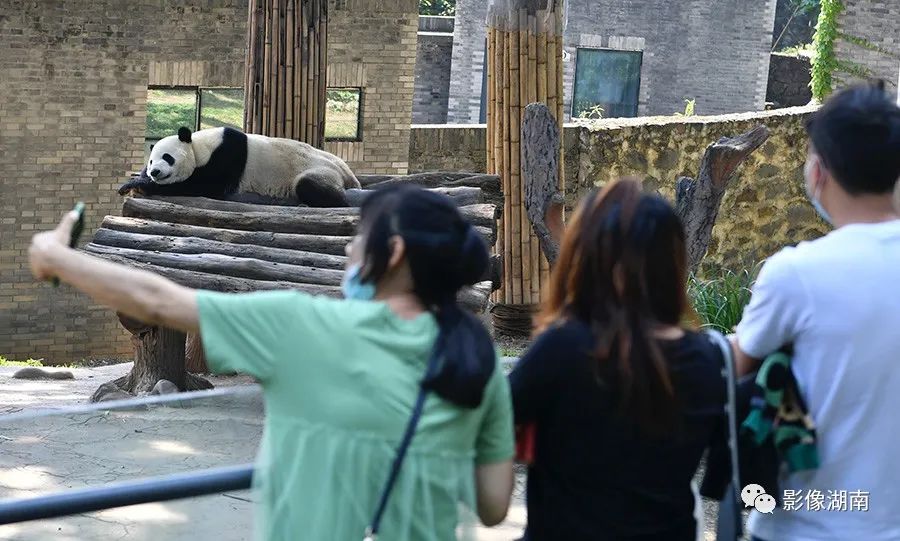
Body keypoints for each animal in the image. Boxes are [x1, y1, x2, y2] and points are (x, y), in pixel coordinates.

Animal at [118, 126, 360, 207]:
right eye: (151, 160)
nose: (155, 172)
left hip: (319, 170)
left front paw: (139, 184)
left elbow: (200, 186)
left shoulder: (223, 159)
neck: (199, 147)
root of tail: (349, 175)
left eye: (168, 158)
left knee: (309, 184)